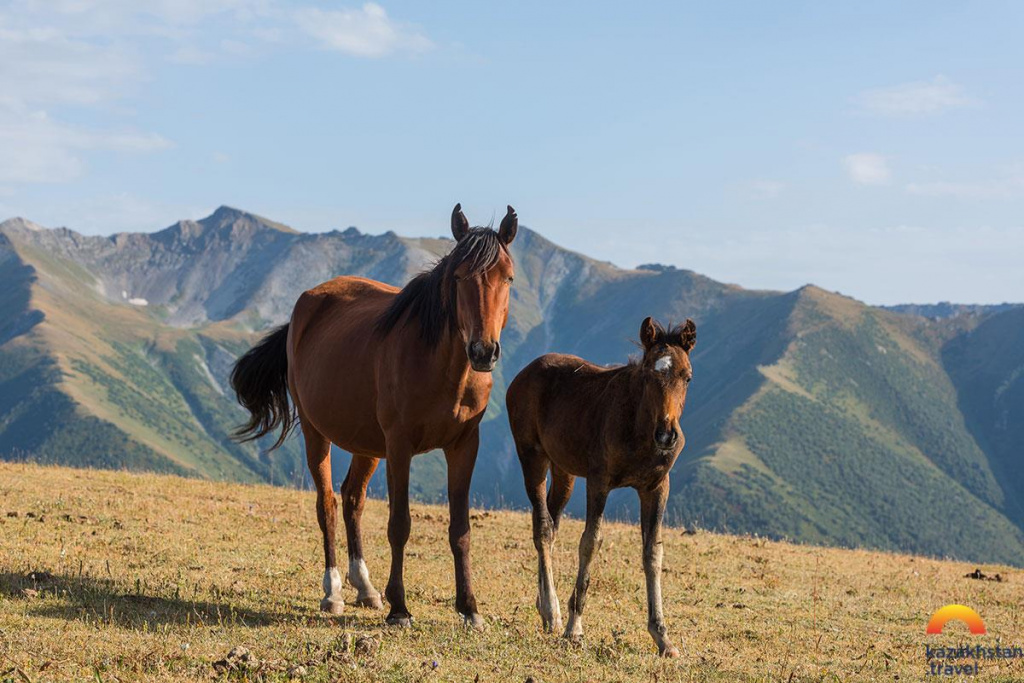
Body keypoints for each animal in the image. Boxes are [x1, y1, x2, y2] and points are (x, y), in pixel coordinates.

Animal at [233, 204, 520, 630]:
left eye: (508, 277)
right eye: (458, 277)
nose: (483, 351)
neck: (441, 367)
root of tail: (306, 305)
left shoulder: (464, 445)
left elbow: (461, 530)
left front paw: (470, 608)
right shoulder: (399, 446)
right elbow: (399, 525)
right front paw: (400, 607)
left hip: (367, 444)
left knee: (353, 499)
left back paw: (365, 587)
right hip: (318, 433)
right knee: (328, 505)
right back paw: (334, 590)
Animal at [503, 317, 696, 659]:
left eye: (686, 376)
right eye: (650, 374)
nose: (666, 435)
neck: (638, 428)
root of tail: (521, 375)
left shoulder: (657, 487)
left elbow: (653, 553)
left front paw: (662, 637)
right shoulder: (599, 482)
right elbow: (590, 542)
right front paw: (574, 628)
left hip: (564, 469)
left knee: (551, 524)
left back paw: (544, 606)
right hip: (532, 456)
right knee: (542, 527)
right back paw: (553, 612)